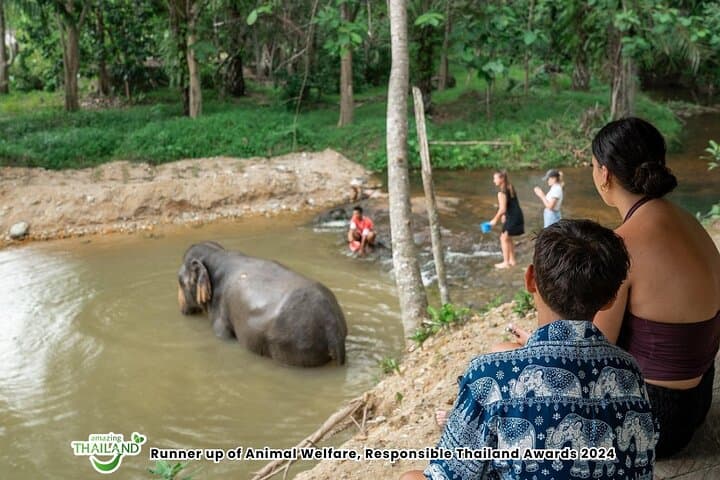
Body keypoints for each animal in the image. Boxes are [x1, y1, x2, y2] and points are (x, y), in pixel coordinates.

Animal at [177, 241, 347, 367]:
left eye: (179, 281)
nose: (182, 310)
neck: (218, 253)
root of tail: (333, 331)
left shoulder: (220, 313)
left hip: (291, 346)